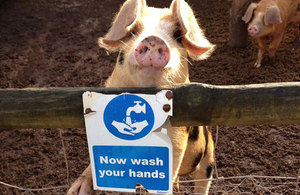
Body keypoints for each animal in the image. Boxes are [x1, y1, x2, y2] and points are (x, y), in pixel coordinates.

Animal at [67, 0, 216, 195]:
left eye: (177, 35)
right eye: (133, 32)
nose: (154, 39)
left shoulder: (178, 136)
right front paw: (76, 191)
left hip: (208, 158)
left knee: (202, 181)